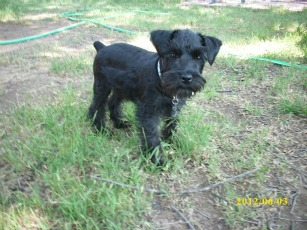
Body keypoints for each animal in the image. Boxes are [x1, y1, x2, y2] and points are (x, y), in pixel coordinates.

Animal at [88, 29, 223, 165]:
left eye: (199, 57)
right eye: (172, 54)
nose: (186, 78)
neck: (162, 82)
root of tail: (103, 47)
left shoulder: (174, 108)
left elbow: (171, 125)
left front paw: (172, 141)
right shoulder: (149, 111)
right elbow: (151, 134)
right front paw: (156, 159)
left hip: (121, 88)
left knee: (112, 102)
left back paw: (120, 123)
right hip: (102, 86)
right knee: (96, 106)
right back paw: (101, 129)